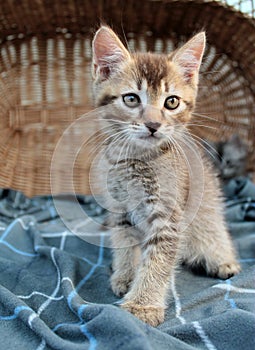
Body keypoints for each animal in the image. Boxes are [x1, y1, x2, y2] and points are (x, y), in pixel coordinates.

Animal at [90, 26, 240, 326]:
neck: (136, 161)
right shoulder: (120, 210)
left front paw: (142, 305)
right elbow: (125, 245)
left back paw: (223, 261)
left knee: (214, 236)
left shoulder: (168, 216)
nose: (153, 124)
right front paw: (125, 275)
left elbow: (157, 261)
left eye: (171, 102)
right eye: (131, 98)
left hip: (208, 217)